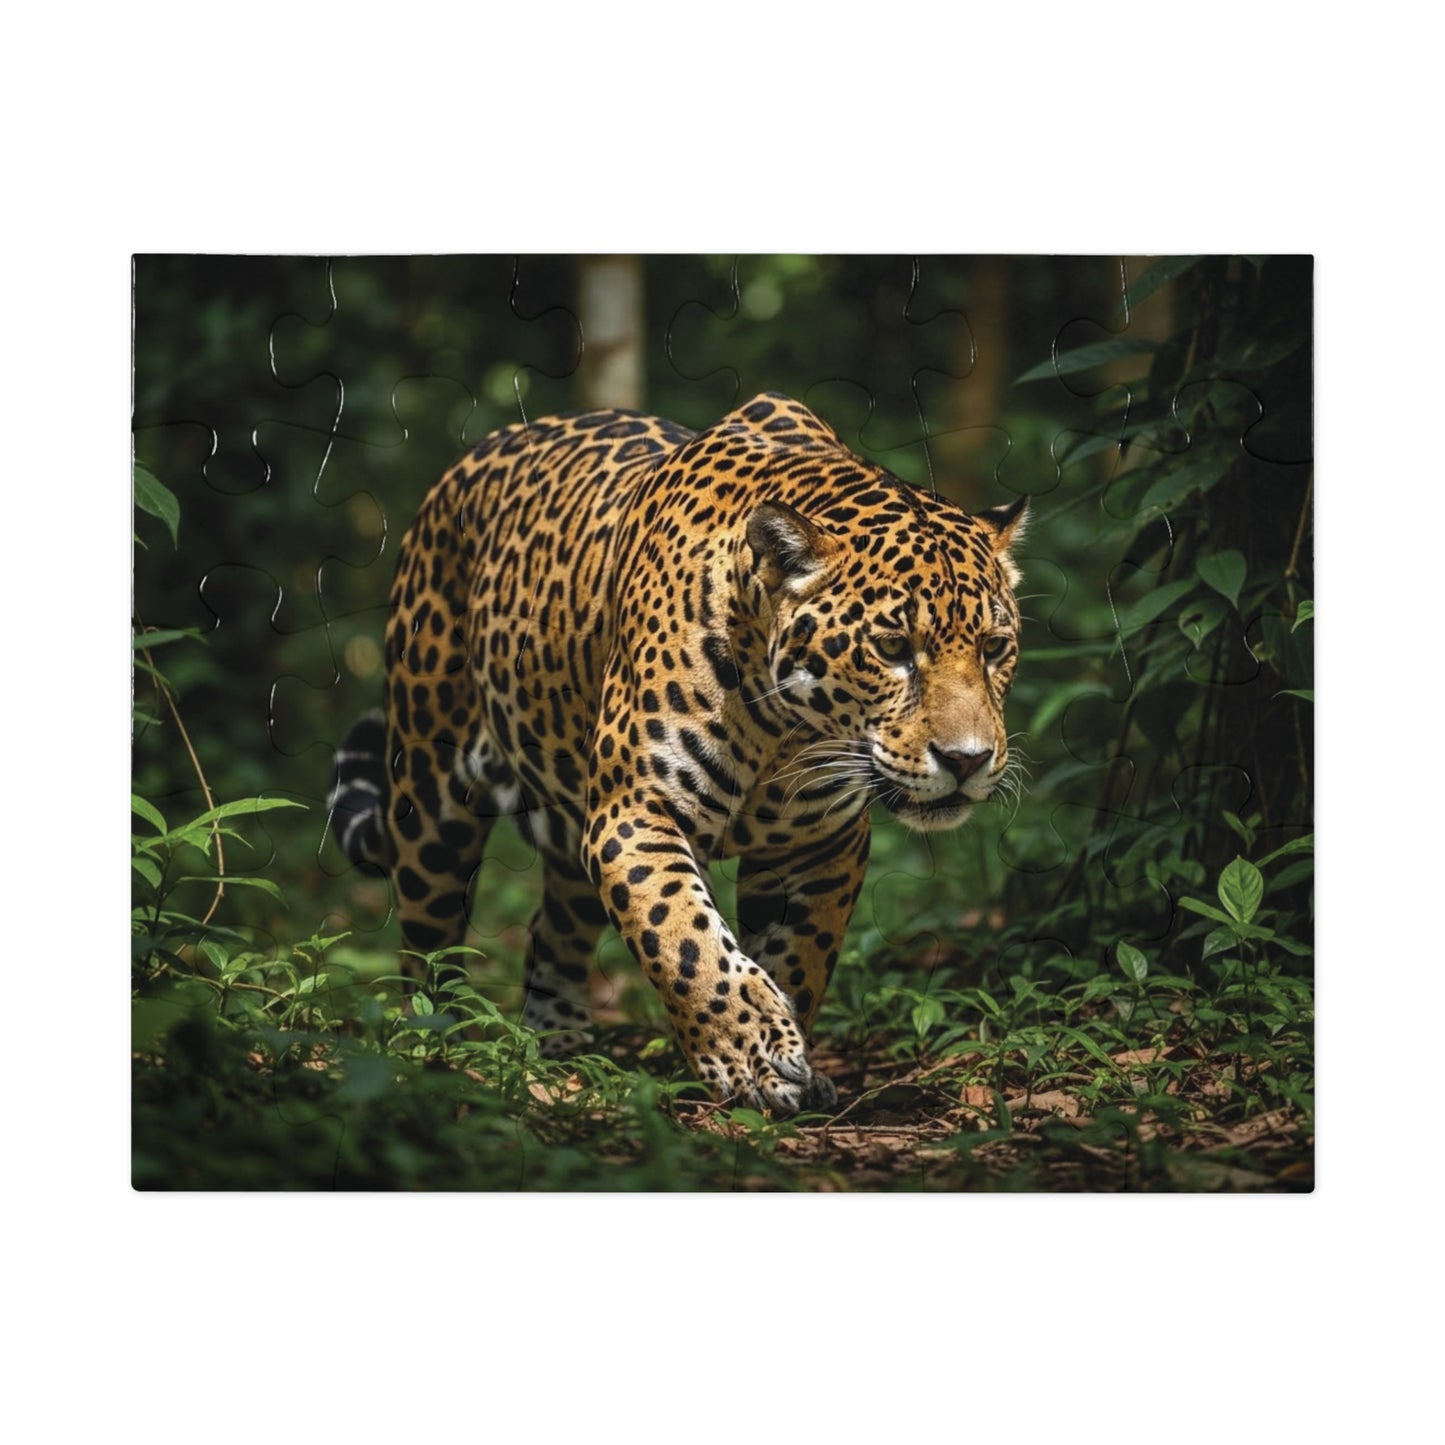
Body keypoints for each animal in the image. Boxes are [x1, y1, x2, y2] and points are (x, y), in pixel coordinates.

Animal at [329, 392, 1027, 1116]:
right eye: (891, 649)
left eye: (995, 648)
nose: (967, 759)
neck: (785, 727)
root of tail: (480, 451)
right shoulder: (635, 811)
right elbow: (684, 935)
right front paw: (752, 1057)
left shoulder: (820, 843)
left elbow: (799, 956)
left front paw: (793, 1059)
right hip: (431, 795)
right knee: (426, 942)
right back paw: (433, 1044)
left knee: (554, 927)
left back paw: (559, 1046)